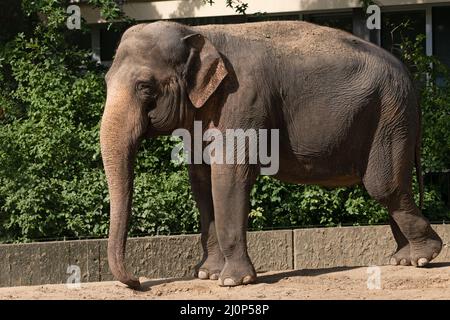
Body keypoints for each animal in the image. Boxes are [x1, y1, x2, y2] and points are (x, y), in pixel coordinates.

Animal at [99, 20, 442, 290]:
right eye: (105, 81)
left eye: (145, 87)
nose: (139, 282)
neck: (202, 33)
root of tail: (411, 78)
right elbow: (201, 181)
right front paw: (207, 275)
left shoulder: (243, 100)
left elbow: (228, 175)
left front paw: (232, 281)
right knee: (393, 189)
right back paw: (403, 259)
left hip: (390, 116)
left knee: (384, 186)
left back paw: (425, 256)